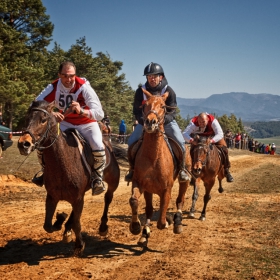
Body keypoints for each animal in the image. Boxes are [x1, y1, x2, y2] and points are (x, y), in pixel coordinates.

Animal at [17, 100, 120, 256]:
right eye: (26, 118)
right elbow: (47, 226)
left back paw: (102, 226)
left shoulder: (77, 198)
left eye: (43, 119)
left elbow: (77, 223)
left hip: (113, 180)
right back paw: (67, 227)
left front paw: (79, 245)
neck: (62, 165)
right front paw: (61, 220)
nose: (23, 144)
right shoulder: (52, 197)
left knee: (108, 198)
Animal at [129, 88, 190, 246]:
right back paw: (144, 233)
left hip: (184, 181)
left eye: (163, 106)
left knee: (180, 200)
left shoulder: (166, 189)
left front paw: (168, 221)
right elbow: (134, 201)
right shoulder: (140, 184)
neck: (153, 157)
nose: (150, 122)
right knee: (150, 209)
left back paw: (177, 222)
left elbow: (162, 222)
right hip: (149, 190)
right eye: (145, 105)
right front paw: (136, 227)